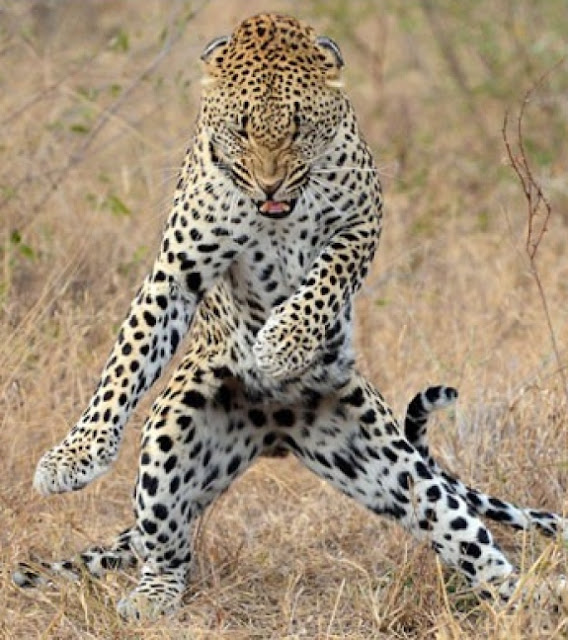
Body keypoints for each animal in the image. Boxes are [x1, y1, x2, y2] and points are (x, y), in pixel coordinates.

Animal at [14, 13, 567, 621]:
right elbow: (128, 358)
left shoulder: (363, 223)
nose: (271, 184)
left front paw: (282, 343)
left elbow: (325, 276)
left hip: (388, 462)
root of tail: (274, 430)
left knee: (460, 529)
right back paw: (152, 596)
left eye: (300, 129)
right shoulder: (179, 267)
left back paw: (528, 593)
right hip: (170, 434)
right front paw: (75, 455)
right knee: (167, 544)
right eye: (241, 129)